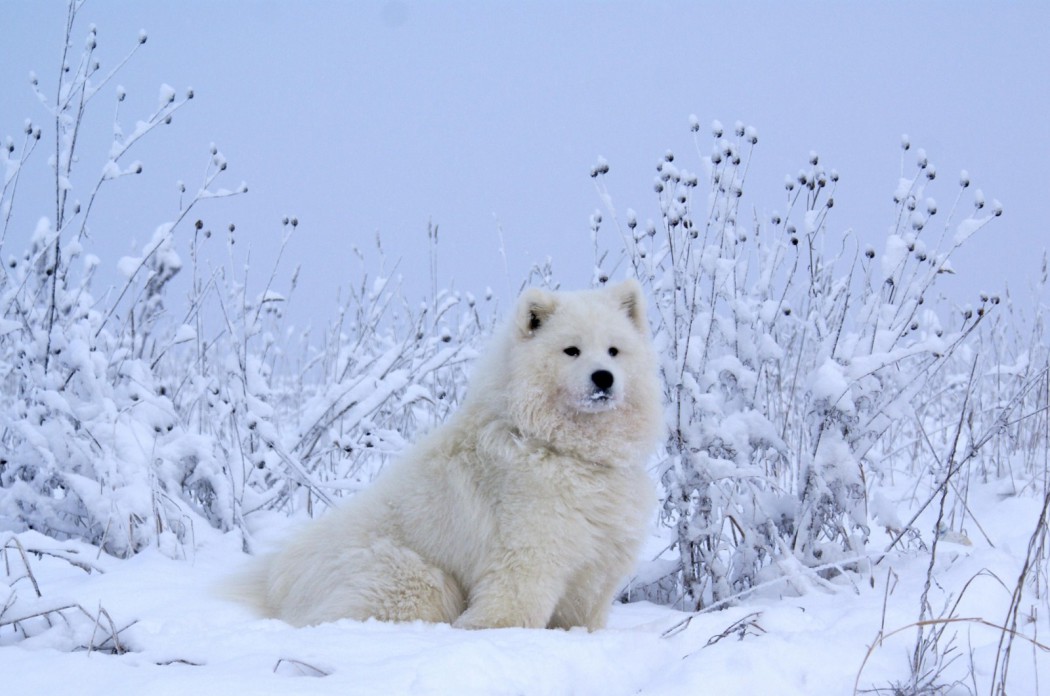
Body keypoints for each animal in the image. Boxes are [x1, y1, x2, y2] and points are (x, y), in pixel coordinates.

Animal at [239, 279, 663, 629]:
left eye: (614, 351)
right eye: (571, 350)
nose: (603, 378)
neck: (560, 450)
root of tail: (276, 579)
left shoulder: (596, 569)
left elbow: (584, 619)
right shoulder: (528, 558)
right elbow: (512, 612)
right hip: (417, 577)